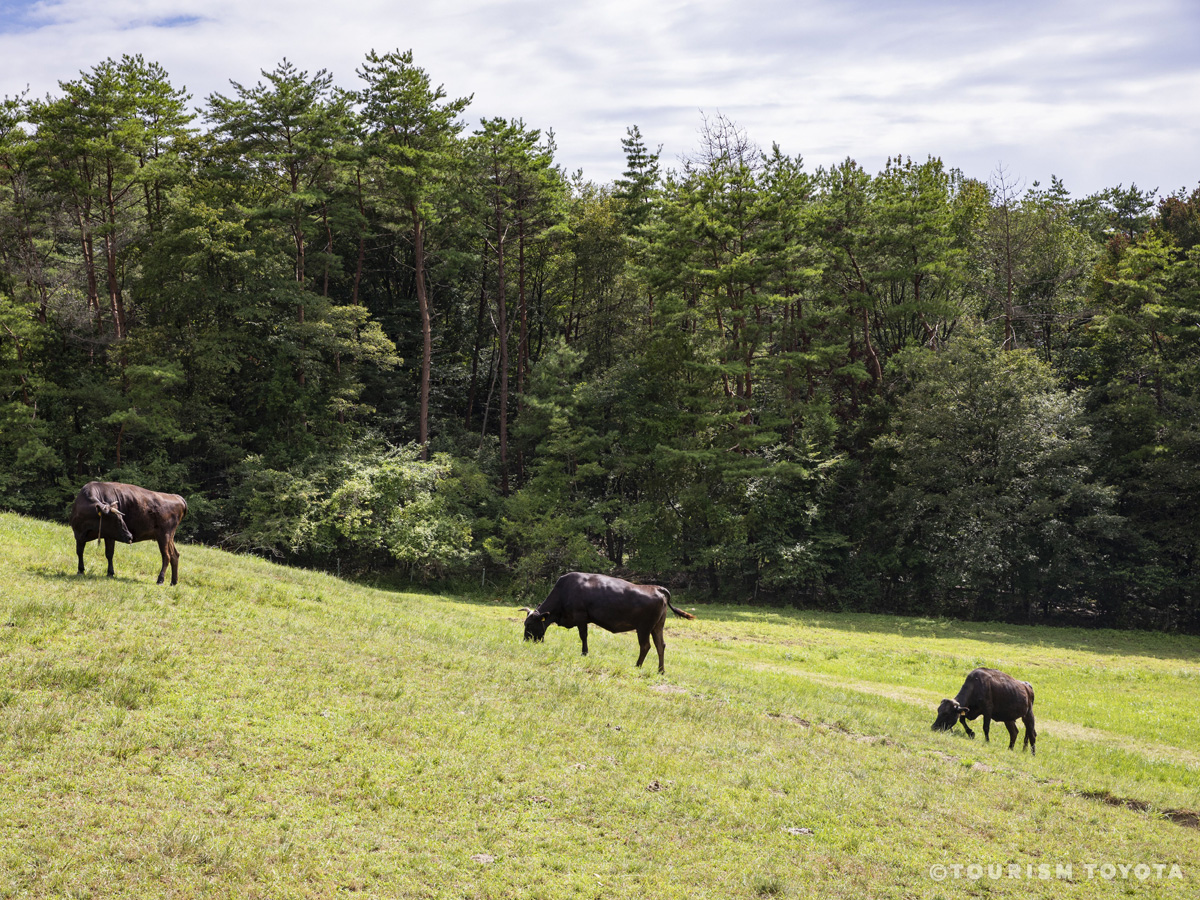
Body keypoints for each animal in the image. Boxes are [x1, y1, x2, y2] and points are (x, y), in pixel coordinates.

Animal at [523, 573, 700, 672]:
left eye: (530, 625)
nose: (525, 641)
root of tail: (657, 588)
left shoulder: (581, 617)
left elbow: (583, 636)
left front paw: (584, 653)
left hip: (643, 628)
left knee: (646, 646)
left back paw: (637, 666)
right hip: (657, 627)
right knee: (660, 645)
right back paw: (660, 670)